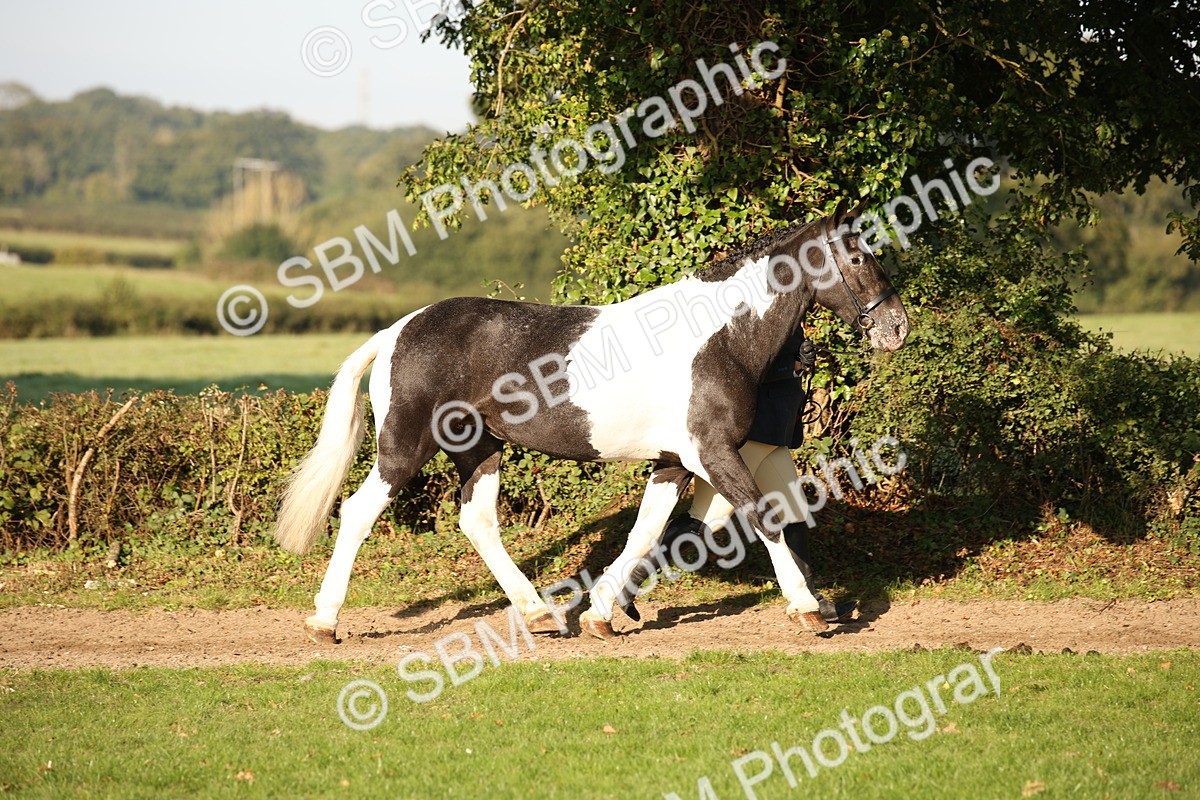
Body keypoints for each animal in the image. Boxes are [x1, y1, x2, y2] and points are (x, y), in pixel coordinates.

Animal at [274, 199, 909, 643]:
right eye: (859, 257)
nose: (897, 327)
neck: (719, 337)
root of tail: (396, 330)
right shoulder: (711, 452)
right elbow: (764, 516)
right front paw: (807, 609)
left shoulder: (674, 463)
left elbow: (647, 532)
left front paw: (604, 613)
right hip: (405, 445)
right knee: (358, 511)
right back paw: (325, 622)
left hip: (479, 449)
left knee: (477, 521)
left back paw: (541, 614)